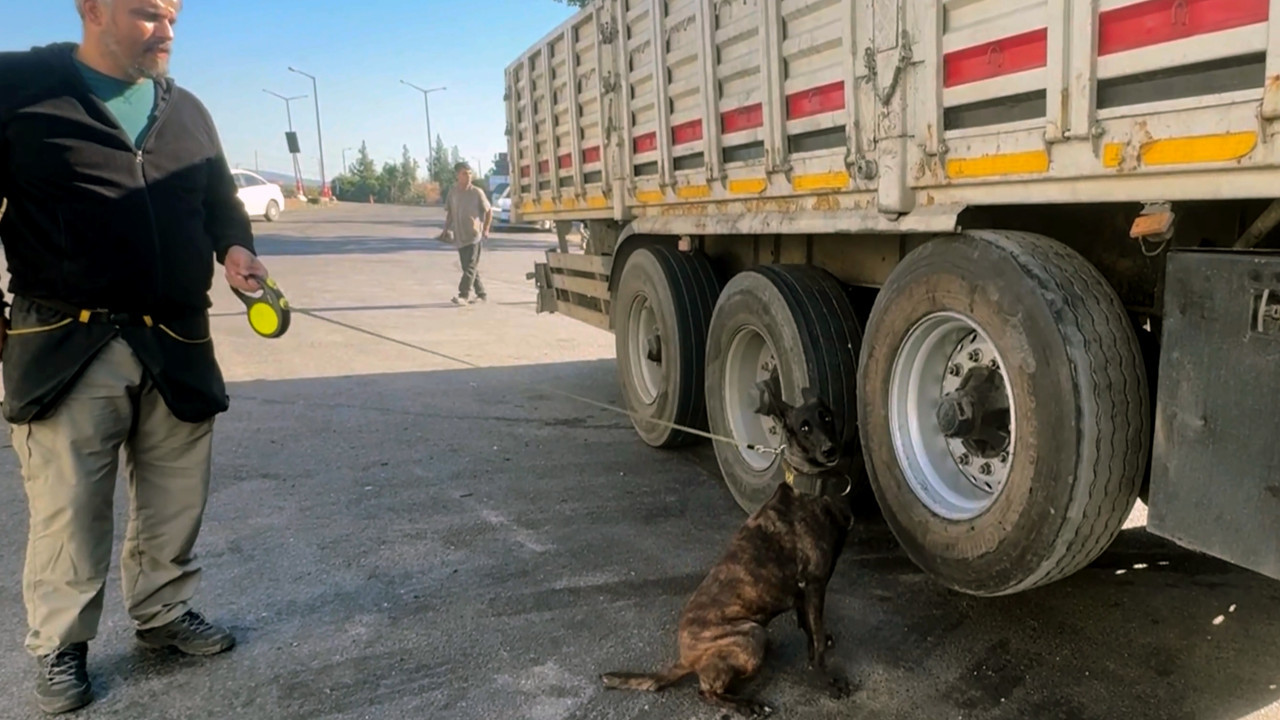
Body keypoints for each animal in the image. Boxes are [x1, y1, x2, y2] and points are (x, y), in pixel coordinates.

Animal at [601, 371, 860, 712]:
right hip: (751, 634)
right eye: (804, 427)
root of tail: (685, 658)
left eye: (826, 417)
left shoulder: (805, 594)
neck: (809, 487)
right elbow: (815, 642)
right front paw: (826, 679)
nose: (830, 450)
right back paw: (747, 705)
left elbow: (810, 629)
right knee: (706, 690)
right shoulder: (815, 584)